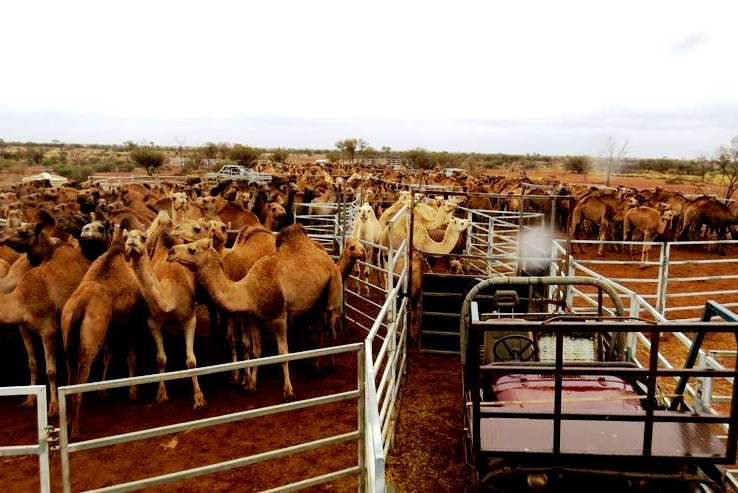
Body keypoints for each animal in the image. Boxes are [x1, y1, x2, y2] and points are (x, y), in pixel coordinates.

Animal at [122, 223, 206, 412]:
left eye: (143, 237)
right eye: (125, 237)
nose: (131, 243)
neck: (169, 297)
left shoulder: (190, 319)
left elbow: (191, 360)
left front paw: (199, 399)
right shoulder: (153, 322)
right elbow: (160, 359)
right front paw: (161, 394)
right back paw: (133, 392)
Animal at [164, 222, 342, 396]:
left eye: (192, 249)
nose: (171, 251)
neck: (249, 291)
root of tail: (327, 256)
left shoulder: (279, 316)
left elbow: (283, 353)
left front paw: (288, 390)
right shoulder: (255, 317)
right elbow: (256, 351)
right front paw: (251, 385)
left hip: (332, 287)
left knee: (330, 326)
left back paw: (330, 364)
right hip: (314, 302)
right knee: (316, 328)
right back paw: (314, 365)